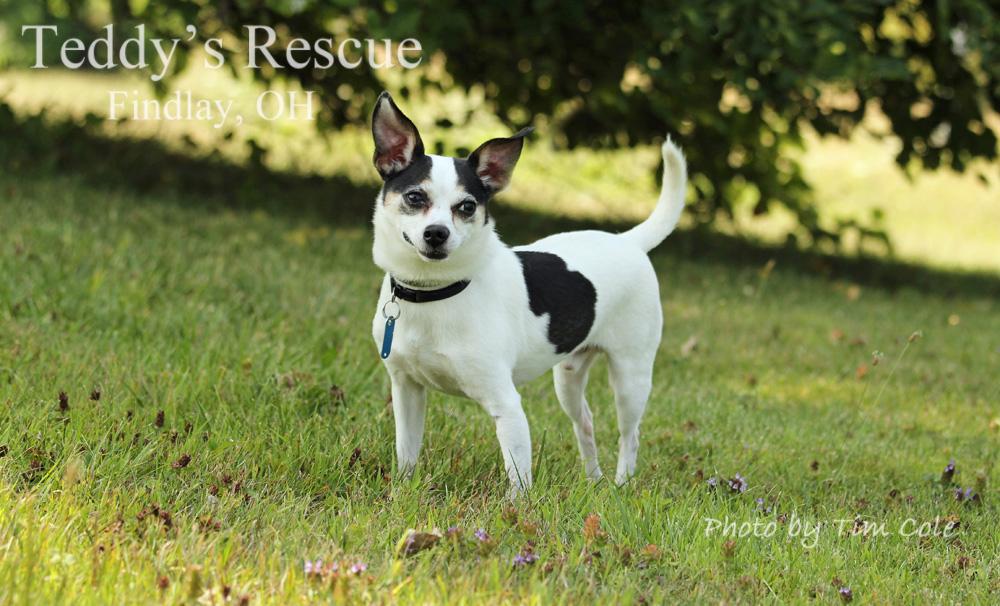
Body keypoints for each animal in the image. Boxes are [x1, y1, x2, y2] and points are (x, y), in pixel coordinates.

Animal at [370, 92, 688, 496]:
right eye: (414, 197)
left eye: (467, 206)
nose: (437, 233)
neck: (435, 292)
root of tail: (627, 241)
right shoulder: (407, 391)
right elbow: (407, 453)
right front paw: (401, 492)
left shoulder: (507, 405)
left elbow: (518, 479)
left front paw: (514, 509)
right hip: (568, 377)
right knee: (585, 423)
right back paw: (593, 480)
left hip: (631, 377)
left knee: (629, 436)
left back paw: (620, 484)